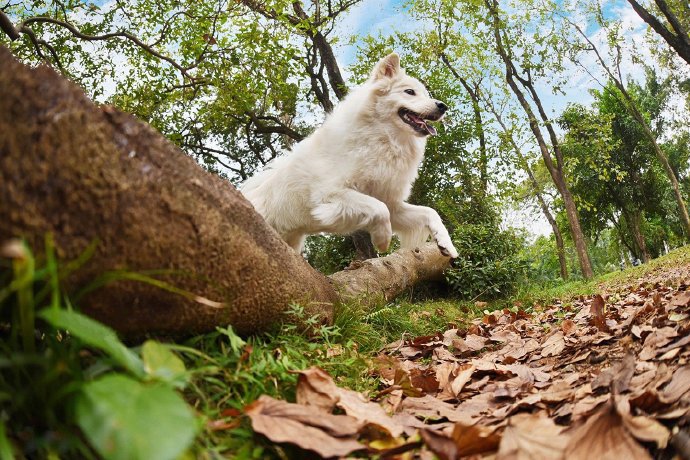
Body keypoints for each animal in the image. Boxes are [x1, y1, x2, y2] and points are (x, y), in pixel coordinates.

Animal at [241, 54, 456, 258]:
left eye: (426, 94)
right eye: (409, 92)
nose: (443, 106)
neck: (384, 140)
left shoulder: (393, 205)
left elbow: (430, 212)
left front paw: (446, 244)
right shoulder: (331, 193)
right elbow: (379, 209)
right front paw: (382, 240)